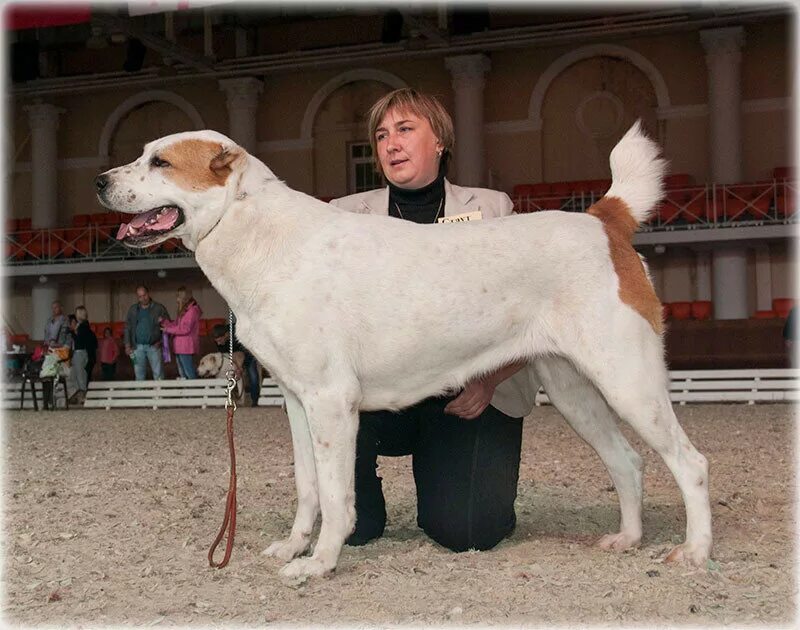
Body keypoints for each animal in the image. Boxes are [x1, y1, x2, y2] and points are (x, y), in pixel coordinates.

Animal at [95, 123, 712, 584]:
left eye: (160, 162)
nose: (99, 182)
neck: (257, 232)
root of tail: (601, 218)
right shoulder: (296, 401)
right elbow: (308, 488)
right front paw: (293, 548)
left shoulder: (331, 401)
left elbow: (337, 496)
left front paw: (319, 564)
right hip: (575, 389)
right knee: (627, 462)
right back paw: (627, 539)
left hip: (629, 381)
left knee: (691, 464)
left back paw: (695, 552)